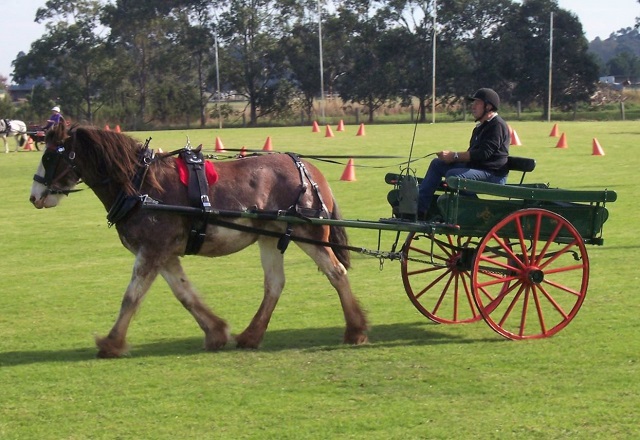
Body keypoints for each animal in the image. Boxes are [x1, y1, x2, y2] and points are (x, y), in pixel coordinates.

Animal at [28, 124, 370, 358]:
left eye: (49, 155)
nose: (33, 196)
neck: (141, 185)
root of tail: (307, 168)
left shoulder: (152, 251)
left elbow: (132, 297)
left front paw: (111, 343)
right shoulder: (163, 253)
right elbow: (184, 294)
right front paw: (215, 331)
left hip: (309, 234)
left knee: (336, 273)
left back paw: (355, 330)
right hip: (271, 237)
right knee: (275, 283)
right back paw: (251, 335)